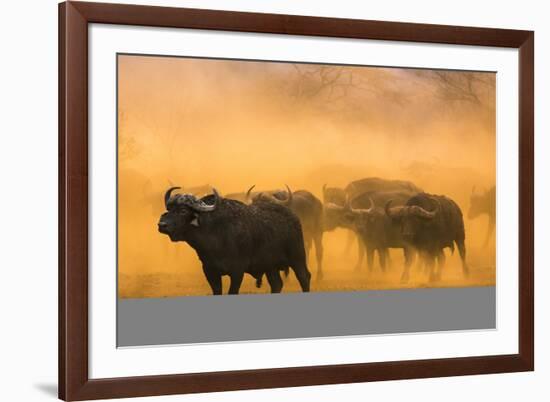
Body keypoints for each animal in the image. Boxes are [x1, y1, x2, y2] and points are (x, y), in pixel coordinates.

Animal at [157, 187, 312, 294]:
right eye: (169, 209)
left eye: (183, 211)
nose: (162, 225)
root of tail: (293, 217)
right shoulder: (209, 271)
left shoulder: (237, 271)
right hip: (270, 266)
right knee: (276, 284)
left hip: (297, 257)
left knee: (304, 277)